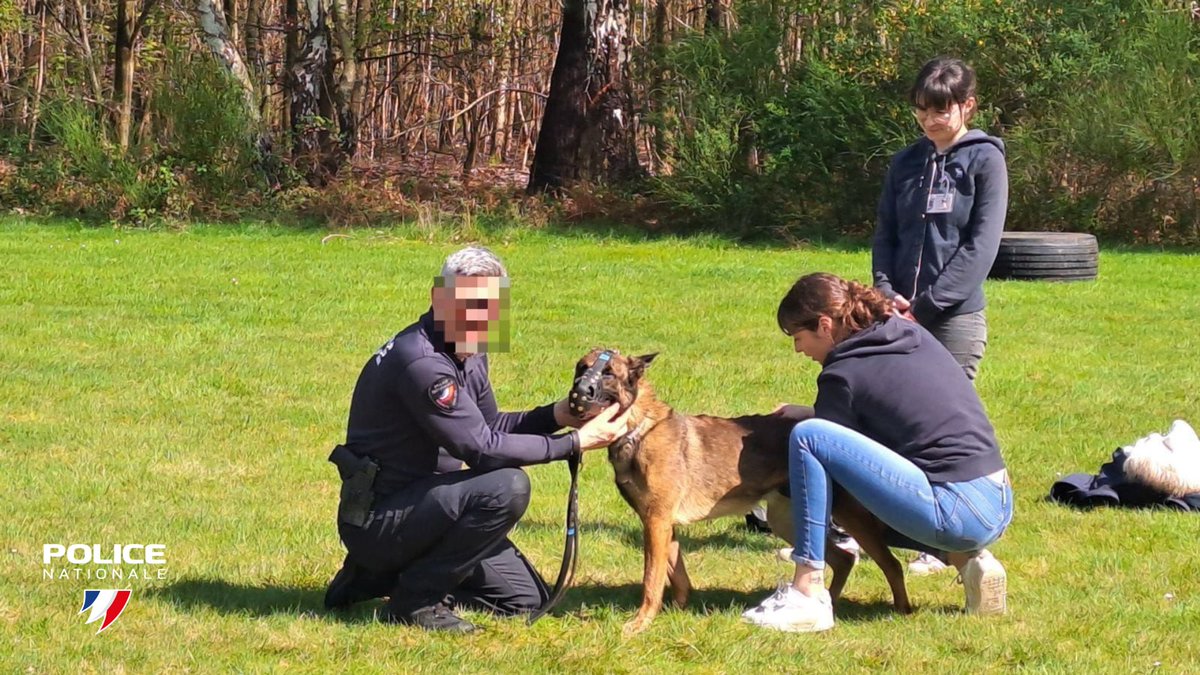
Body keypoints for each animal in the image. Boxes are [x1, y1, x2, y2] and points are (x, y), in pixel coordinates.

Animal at [571, 348, 907, 634]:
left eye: (608, 373)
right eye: (581, 368)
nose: (577, 392)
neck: (638, 429)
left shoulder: (656, 523)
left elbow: (651, 580)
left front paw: (641, 623)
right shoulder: (663, 526)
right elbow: (677, 575)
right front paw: (677, 610)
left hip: (848, 515)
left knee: (889, 563)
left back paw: (901, 611)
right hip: (787, 521)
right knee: (842, 560)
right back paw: (828, 605)